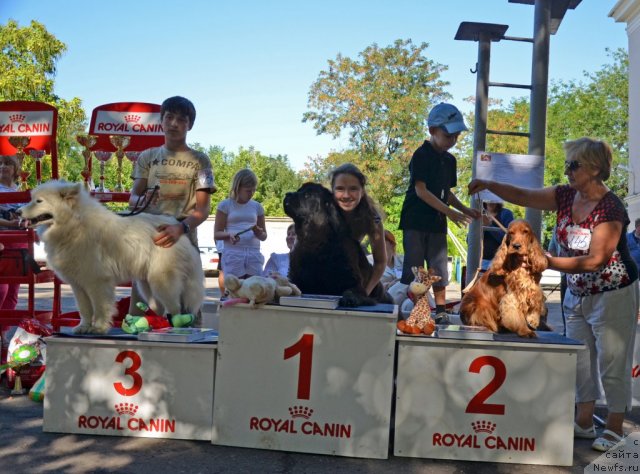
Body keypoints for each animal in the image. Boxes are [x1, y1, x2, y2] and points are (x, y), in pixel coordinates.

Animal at [18, 181, 202, 334]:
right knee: (161, 308)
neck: (74, 224)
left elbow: (100, 308)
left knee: (175, 308)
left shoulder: (97, 282)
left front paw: (99, 328)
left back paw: (175, 327)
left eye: (39, 201)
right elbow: (84, 309)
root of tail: (177, 229)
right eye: (32, 199)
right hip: (147, 286)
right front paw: (83, 327)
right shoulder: (78, 285)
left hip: (162, 282)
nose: (17, 211)